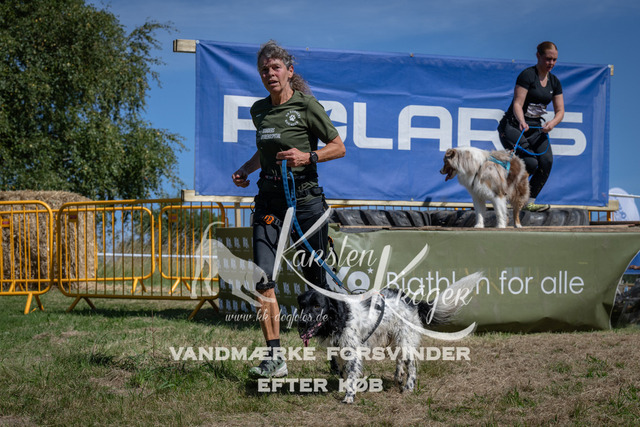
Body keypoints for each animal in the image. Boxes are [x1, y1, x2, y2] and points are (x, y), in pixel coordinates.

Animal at [297, 273, 480, 403]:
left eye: (317, 306)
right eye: (302, 306)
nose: (301, 323)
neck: (340, 317)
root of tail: (411, 301)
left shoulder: (353, 352)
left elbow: (352, 374)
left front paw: (349, 396)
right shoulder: (338, 350)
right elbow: (344, 373)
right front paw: (344, 388)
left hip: (405, 340)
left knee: (412, 365)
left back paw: (408, 387)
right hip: (395, 339)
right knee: (400, 359)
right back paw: (398, 376)